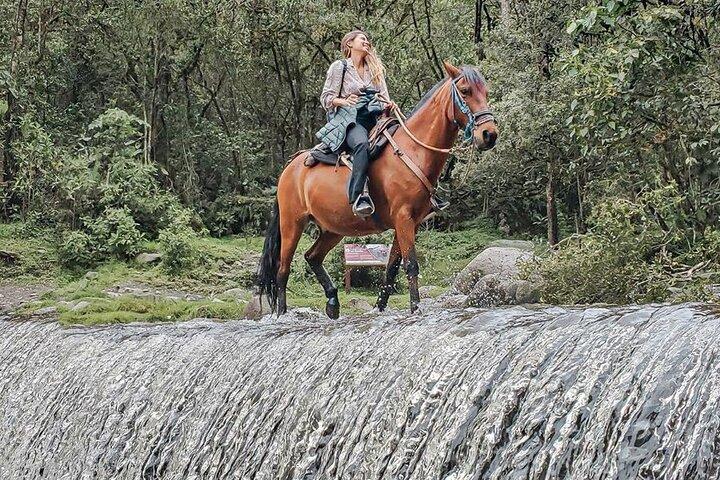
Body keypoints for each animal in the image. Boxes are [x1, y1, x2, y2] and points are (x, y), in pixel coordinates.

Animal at [256, 60, 498, 318]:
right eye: (465, 91)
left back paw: (332, 302)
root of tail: (290, 167)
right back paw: (282, 314)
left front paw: (380, 308)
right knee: (283, 270)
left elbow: (391, 268)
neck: (413, 150)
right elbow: (411, 264)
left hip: (333, 228)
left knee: (312, 256)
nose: (489, 134)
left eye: (486, 92)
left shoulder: (410, 222)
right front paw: (415, 308)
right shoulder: (403, 218)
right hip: (292, 223)